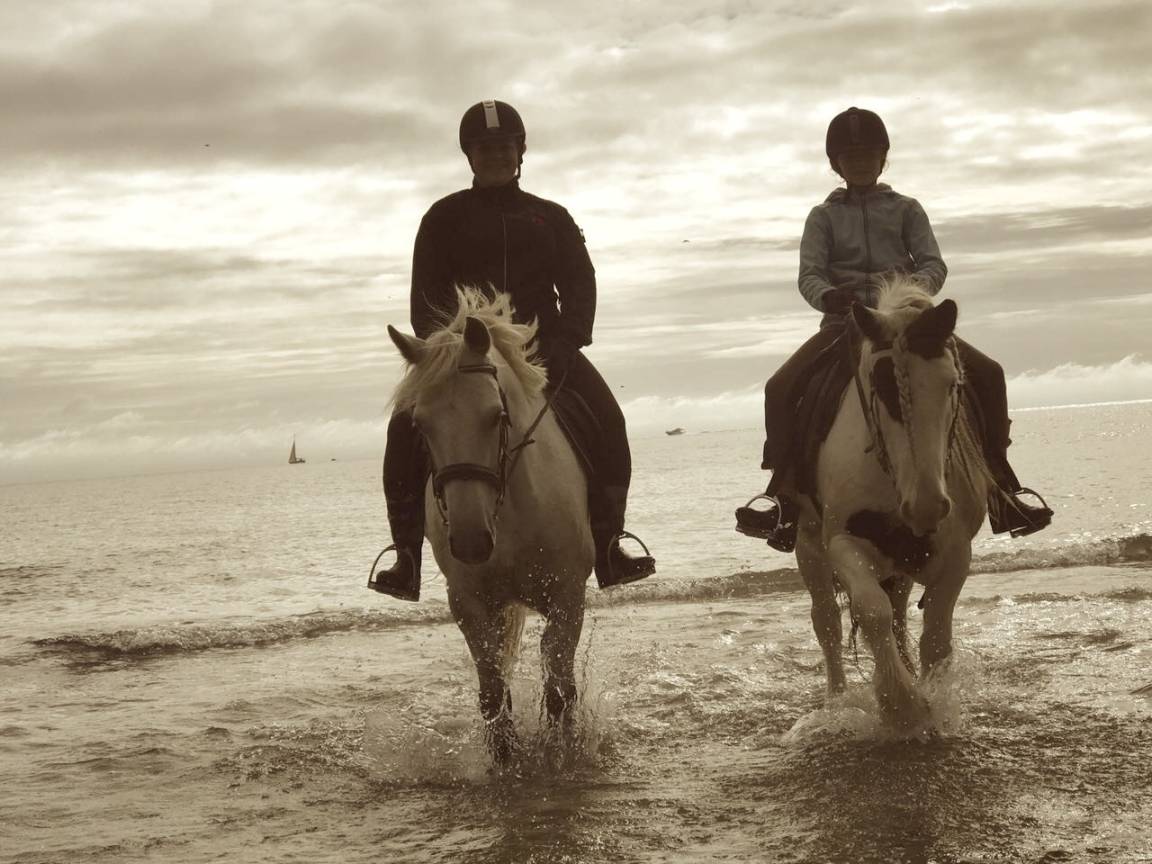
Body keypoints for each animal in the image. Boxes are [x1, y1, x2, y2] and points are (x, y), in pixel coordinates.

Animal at [386, 288, 595, 764]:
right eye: (419, 424)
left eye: (496, 415)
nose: (469, 540)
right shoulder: (468, 603)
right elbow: (493, 693)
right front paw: (504, 759)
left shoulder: (568, 594)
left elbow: (559, 686)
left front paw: (561, 752)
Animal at [794, 276, 996, 732]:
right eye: (879, 385)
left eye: (952, 383)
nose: (926, 506)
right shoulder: (842, 542)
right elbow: (871, 612)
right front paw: (902, 706)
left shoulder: (956, 552)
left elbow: (935, 633)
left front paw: (933, 699)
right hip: (806, 546)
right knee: (827, 621)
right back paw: (837, 702)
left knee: (900, 611)